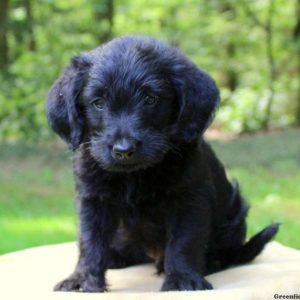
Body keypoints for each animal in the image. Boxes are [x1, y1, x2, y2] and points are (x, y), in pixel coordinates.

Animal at [47, 34, 278, 290]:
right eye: (98, 102)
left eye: (150, 99)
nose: (123, 150)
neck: (135, 175)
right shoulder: (93, 199)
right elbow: (90, 241)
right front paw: (82, 280)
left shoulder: (189, 199)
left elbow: (184, 241)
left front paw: (182, 278)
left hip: (234, 211)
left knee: (227, 253)